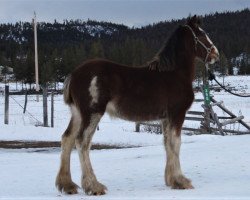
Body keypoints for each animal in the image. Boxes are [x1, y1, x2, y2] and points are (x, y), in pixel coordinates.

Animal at [55, 15, 219, 195]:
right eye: (202, 34)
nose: (215, 54)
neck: (174, 74)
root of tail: (74, 74)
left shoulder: (166, 118)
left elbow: (167, 144)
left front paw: (171, 180)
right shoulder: (177, 114)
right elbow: (176, 143)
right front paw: (181, 181)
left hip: (78, 114)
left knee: (67, 139)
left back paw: (67, 185)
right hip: (92, 113)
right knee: (82, 142)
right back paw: (94, 186)